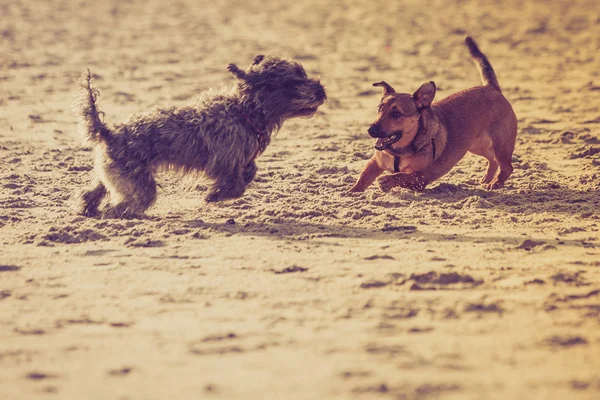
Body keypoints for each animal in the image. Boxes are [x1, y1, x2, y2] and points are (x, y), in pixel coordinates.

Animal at [75, 54, 328, 217]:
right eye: (294, 82)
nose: (322, 91)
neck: (243, 111)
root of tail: (107, 132)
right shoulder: (222, 161)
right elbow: (236, 183)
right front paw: (215, 195)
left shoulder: (240, 158)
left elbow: (249, 171)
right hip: (138, 183)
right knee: (120, 207)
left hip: (111, 175)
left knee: (91, 193)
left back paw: (87, 208)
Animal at [350, 36, 516, 193]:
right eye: (379, 108)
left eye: (396, 113)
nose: (370, 130)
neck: (400, 151)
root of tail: (491, 87)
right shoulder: (375, 162)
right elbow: (363, 177)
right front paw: (352, 192)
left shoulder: (421, 178)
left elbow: (401, 176)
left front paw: (386, 181)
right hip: (476, 145)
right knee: (493, 159)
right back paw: (487, 179)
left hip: (501, 145)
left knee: (506, 166)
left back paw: (495, 183)